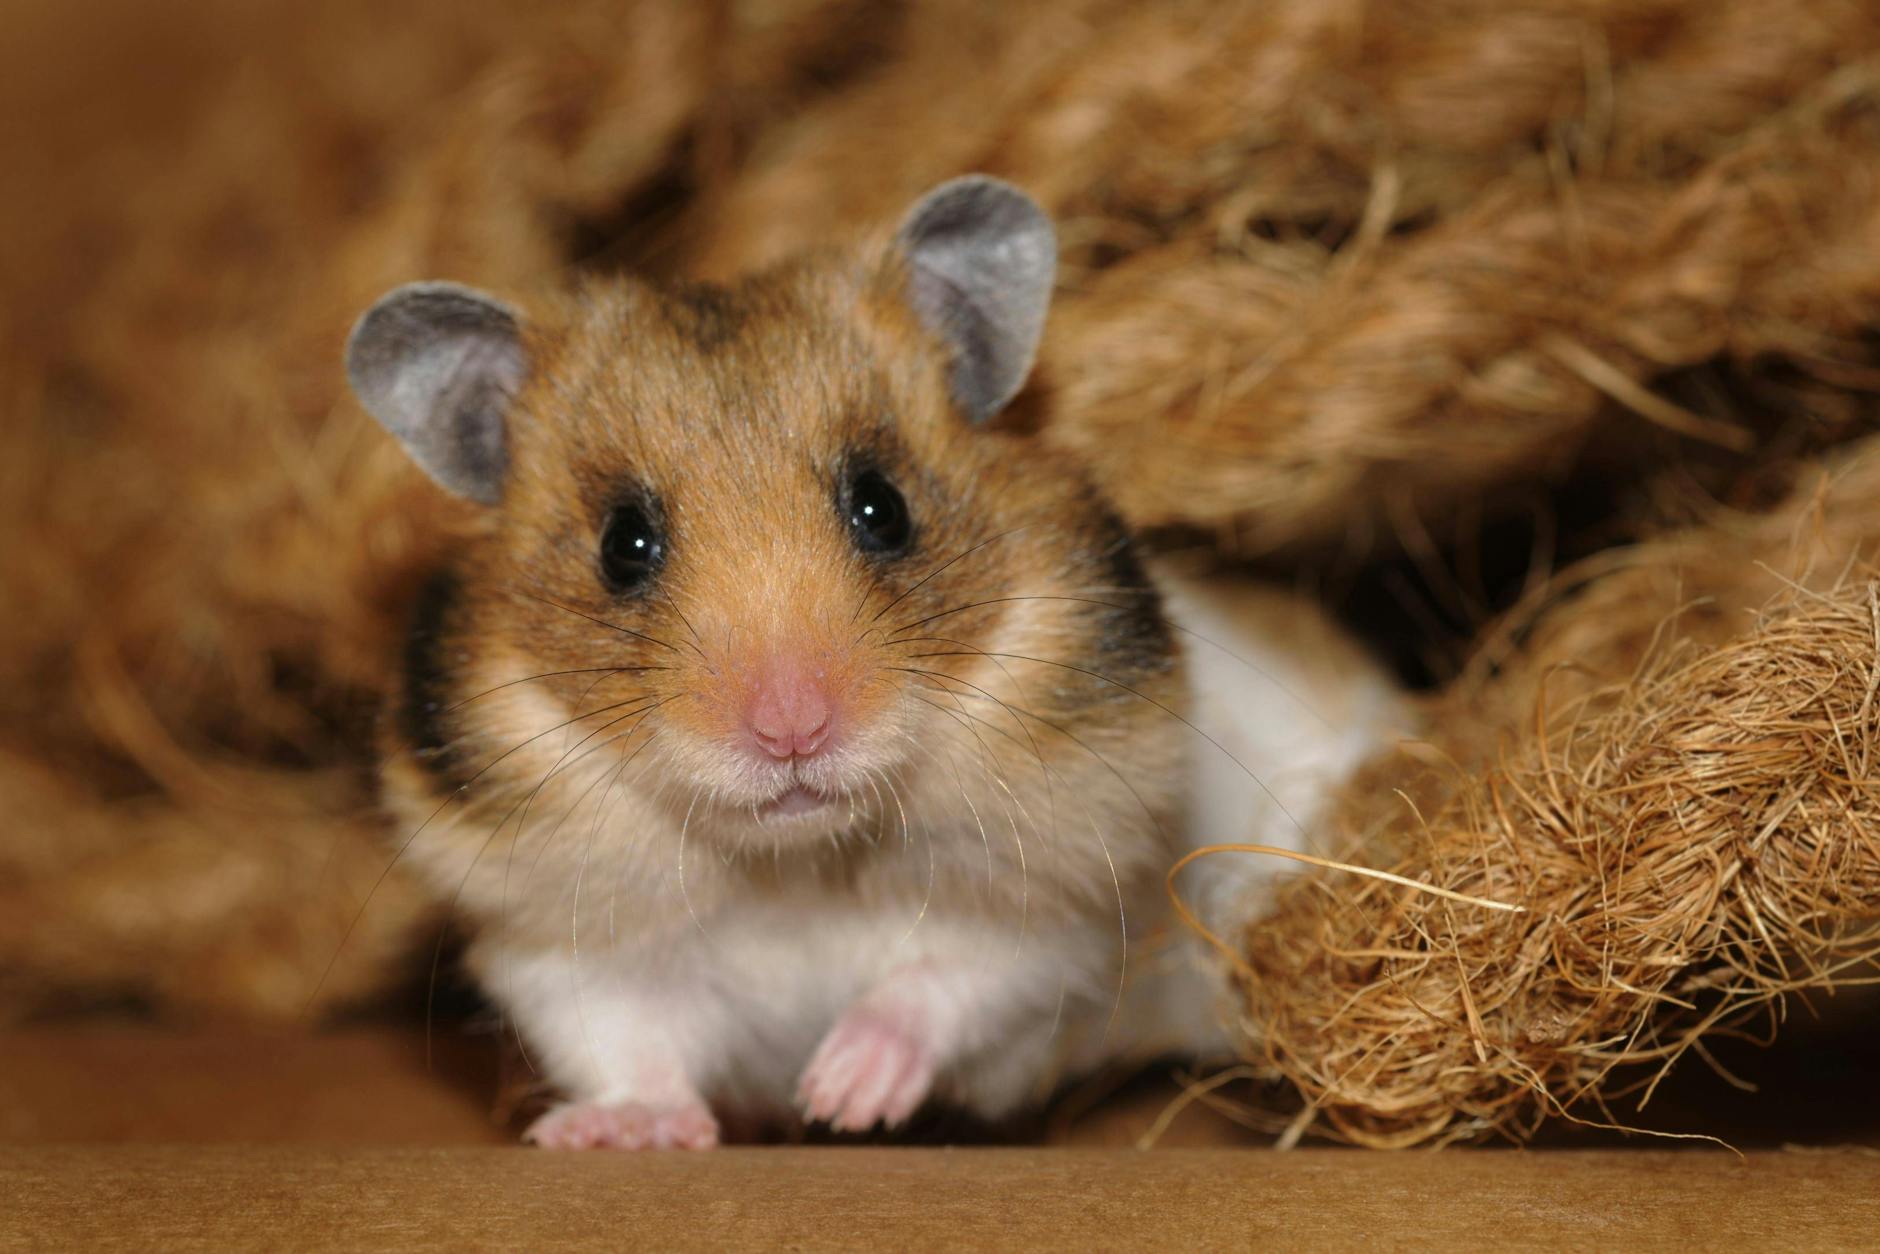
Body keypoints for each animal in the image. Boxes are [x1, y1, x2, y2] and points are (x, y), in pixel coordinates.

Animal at [344, 176, 1404, 1149]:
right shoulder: (558, 944)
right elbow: (627, 1046)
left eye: (883, 506)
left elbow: (942, 983)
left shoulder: (1054, 914)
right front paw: (611, 1133)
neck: (795, 861)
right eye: (622, 545)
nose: (793, 731)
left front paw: (842, 1095)